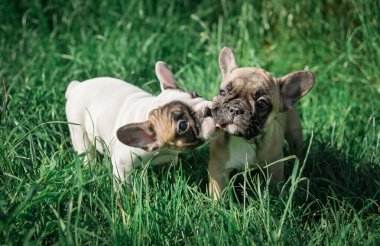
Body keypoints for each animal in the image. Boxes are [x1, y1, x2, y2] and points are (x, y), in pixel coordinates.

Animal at [208, 48, 314, 200]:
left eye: (262, 104)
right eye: (222, 92)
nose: (235, 109)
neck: (243, 140)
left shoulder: (274, 168)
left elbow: (274, 188)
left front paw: (276, 201)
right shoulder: (218, 169)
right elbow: (218, 193)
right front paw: (218, 204)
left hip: (294, 132)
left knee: (297, 150)